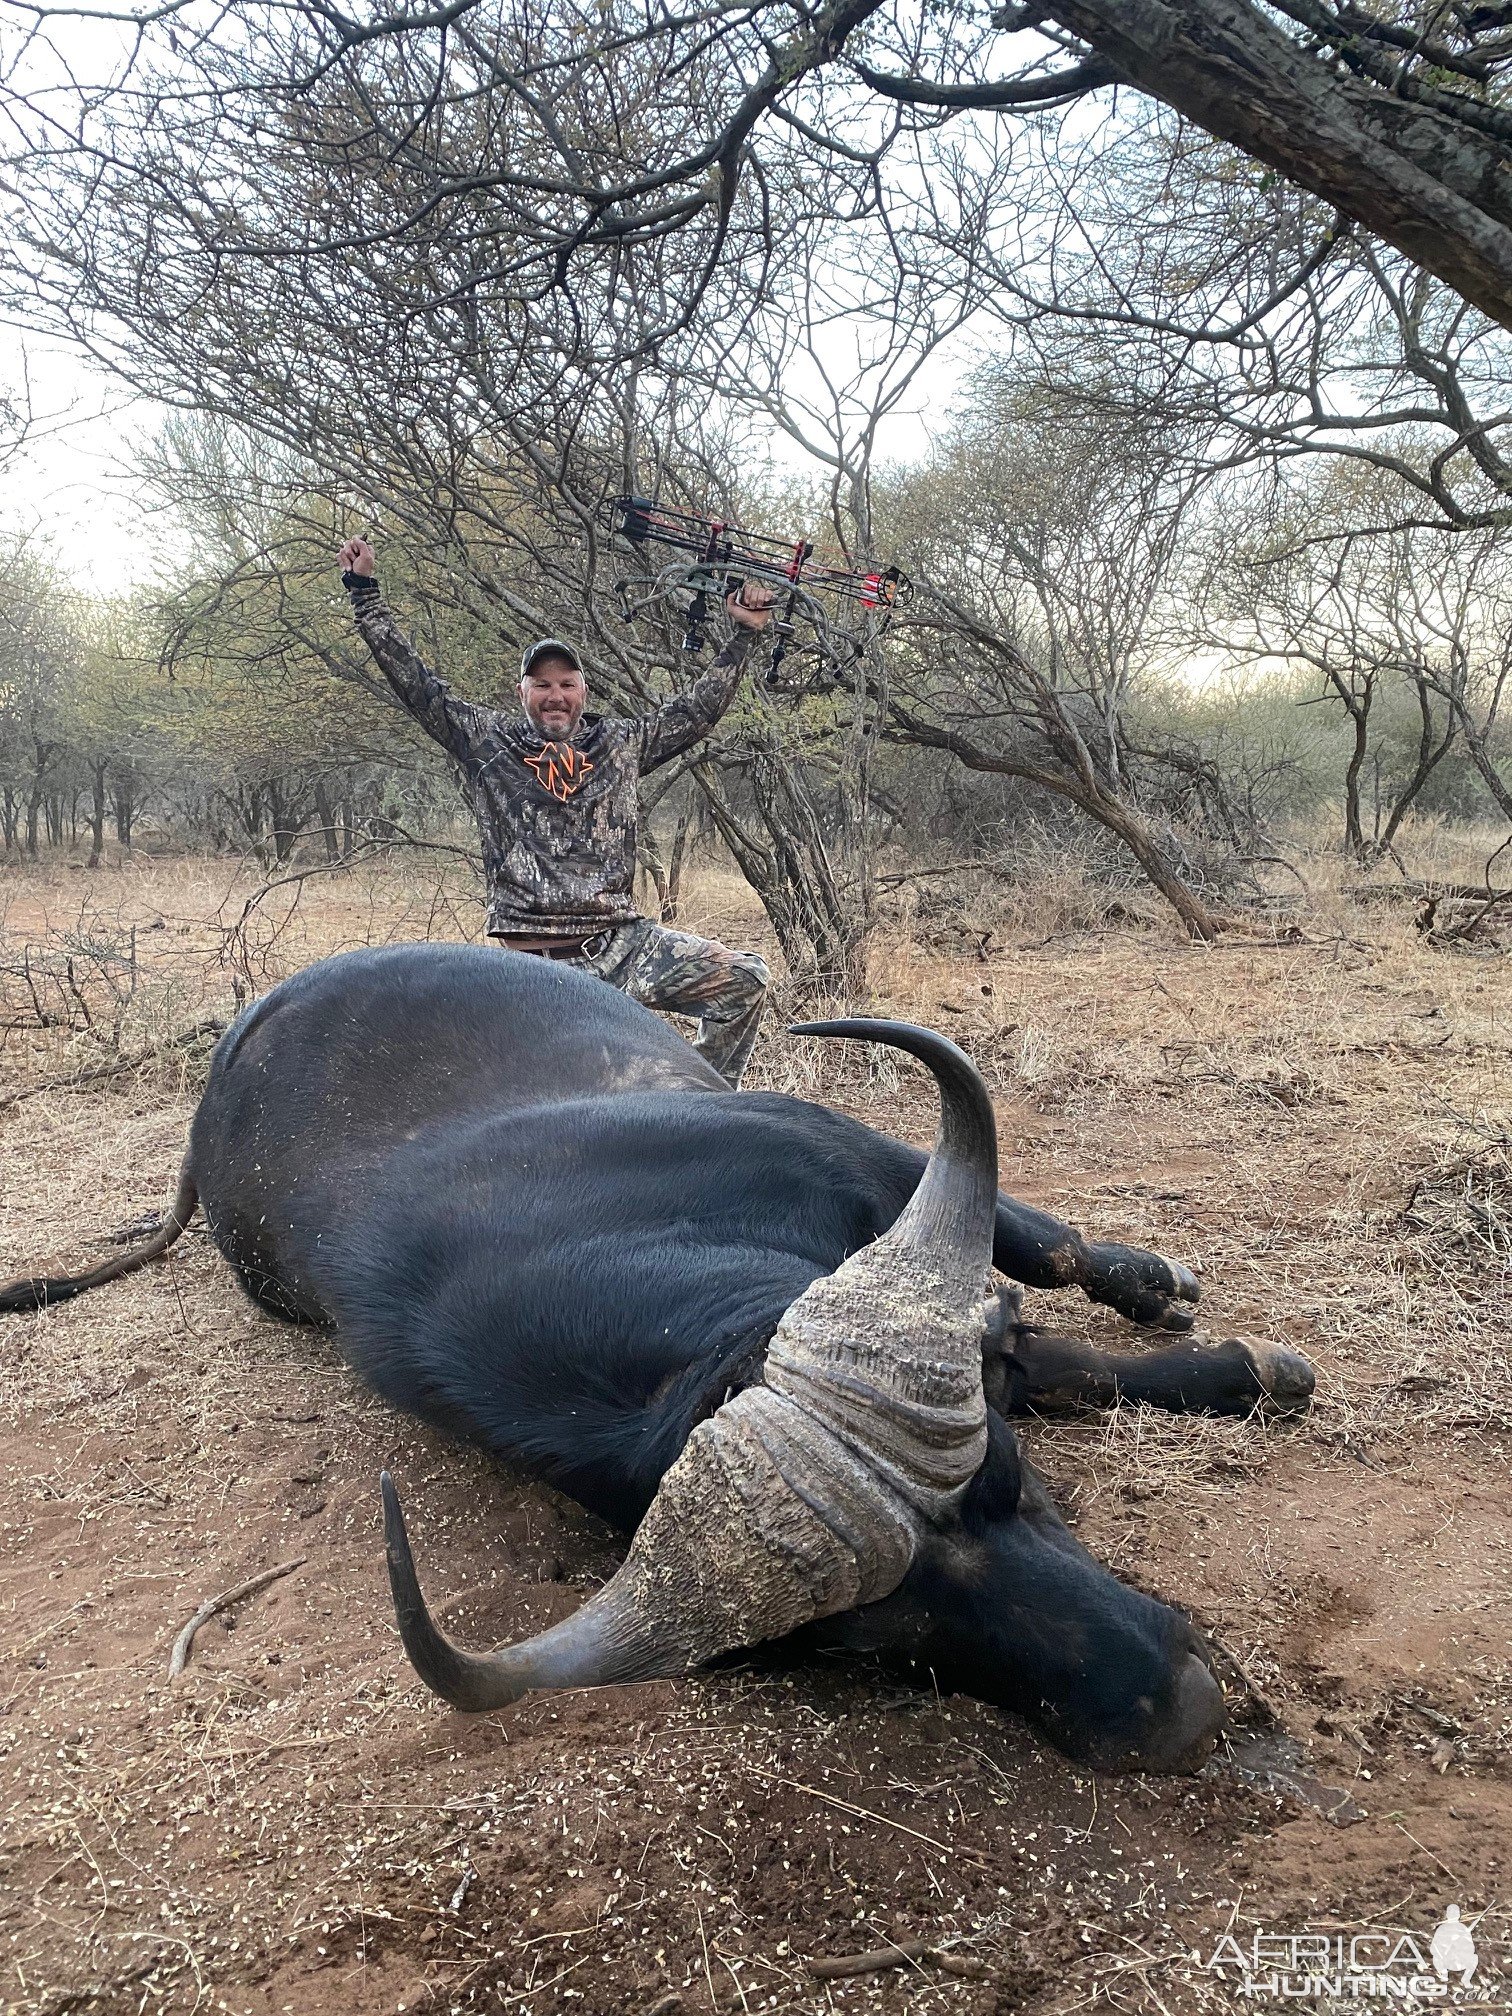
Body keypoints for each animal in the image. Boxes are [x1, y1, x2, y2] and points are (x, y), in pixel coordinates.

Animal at [2, 939, 1314, 1766]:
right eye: (889, 1646)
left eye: (1018, 1485)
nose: (1182, 1710)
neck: (623, 1227)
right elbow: (1051, 1359)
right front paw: (1239, 1367)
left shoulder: (870, 1158)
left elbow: (1048, 1258)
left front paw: (1206, 1331)